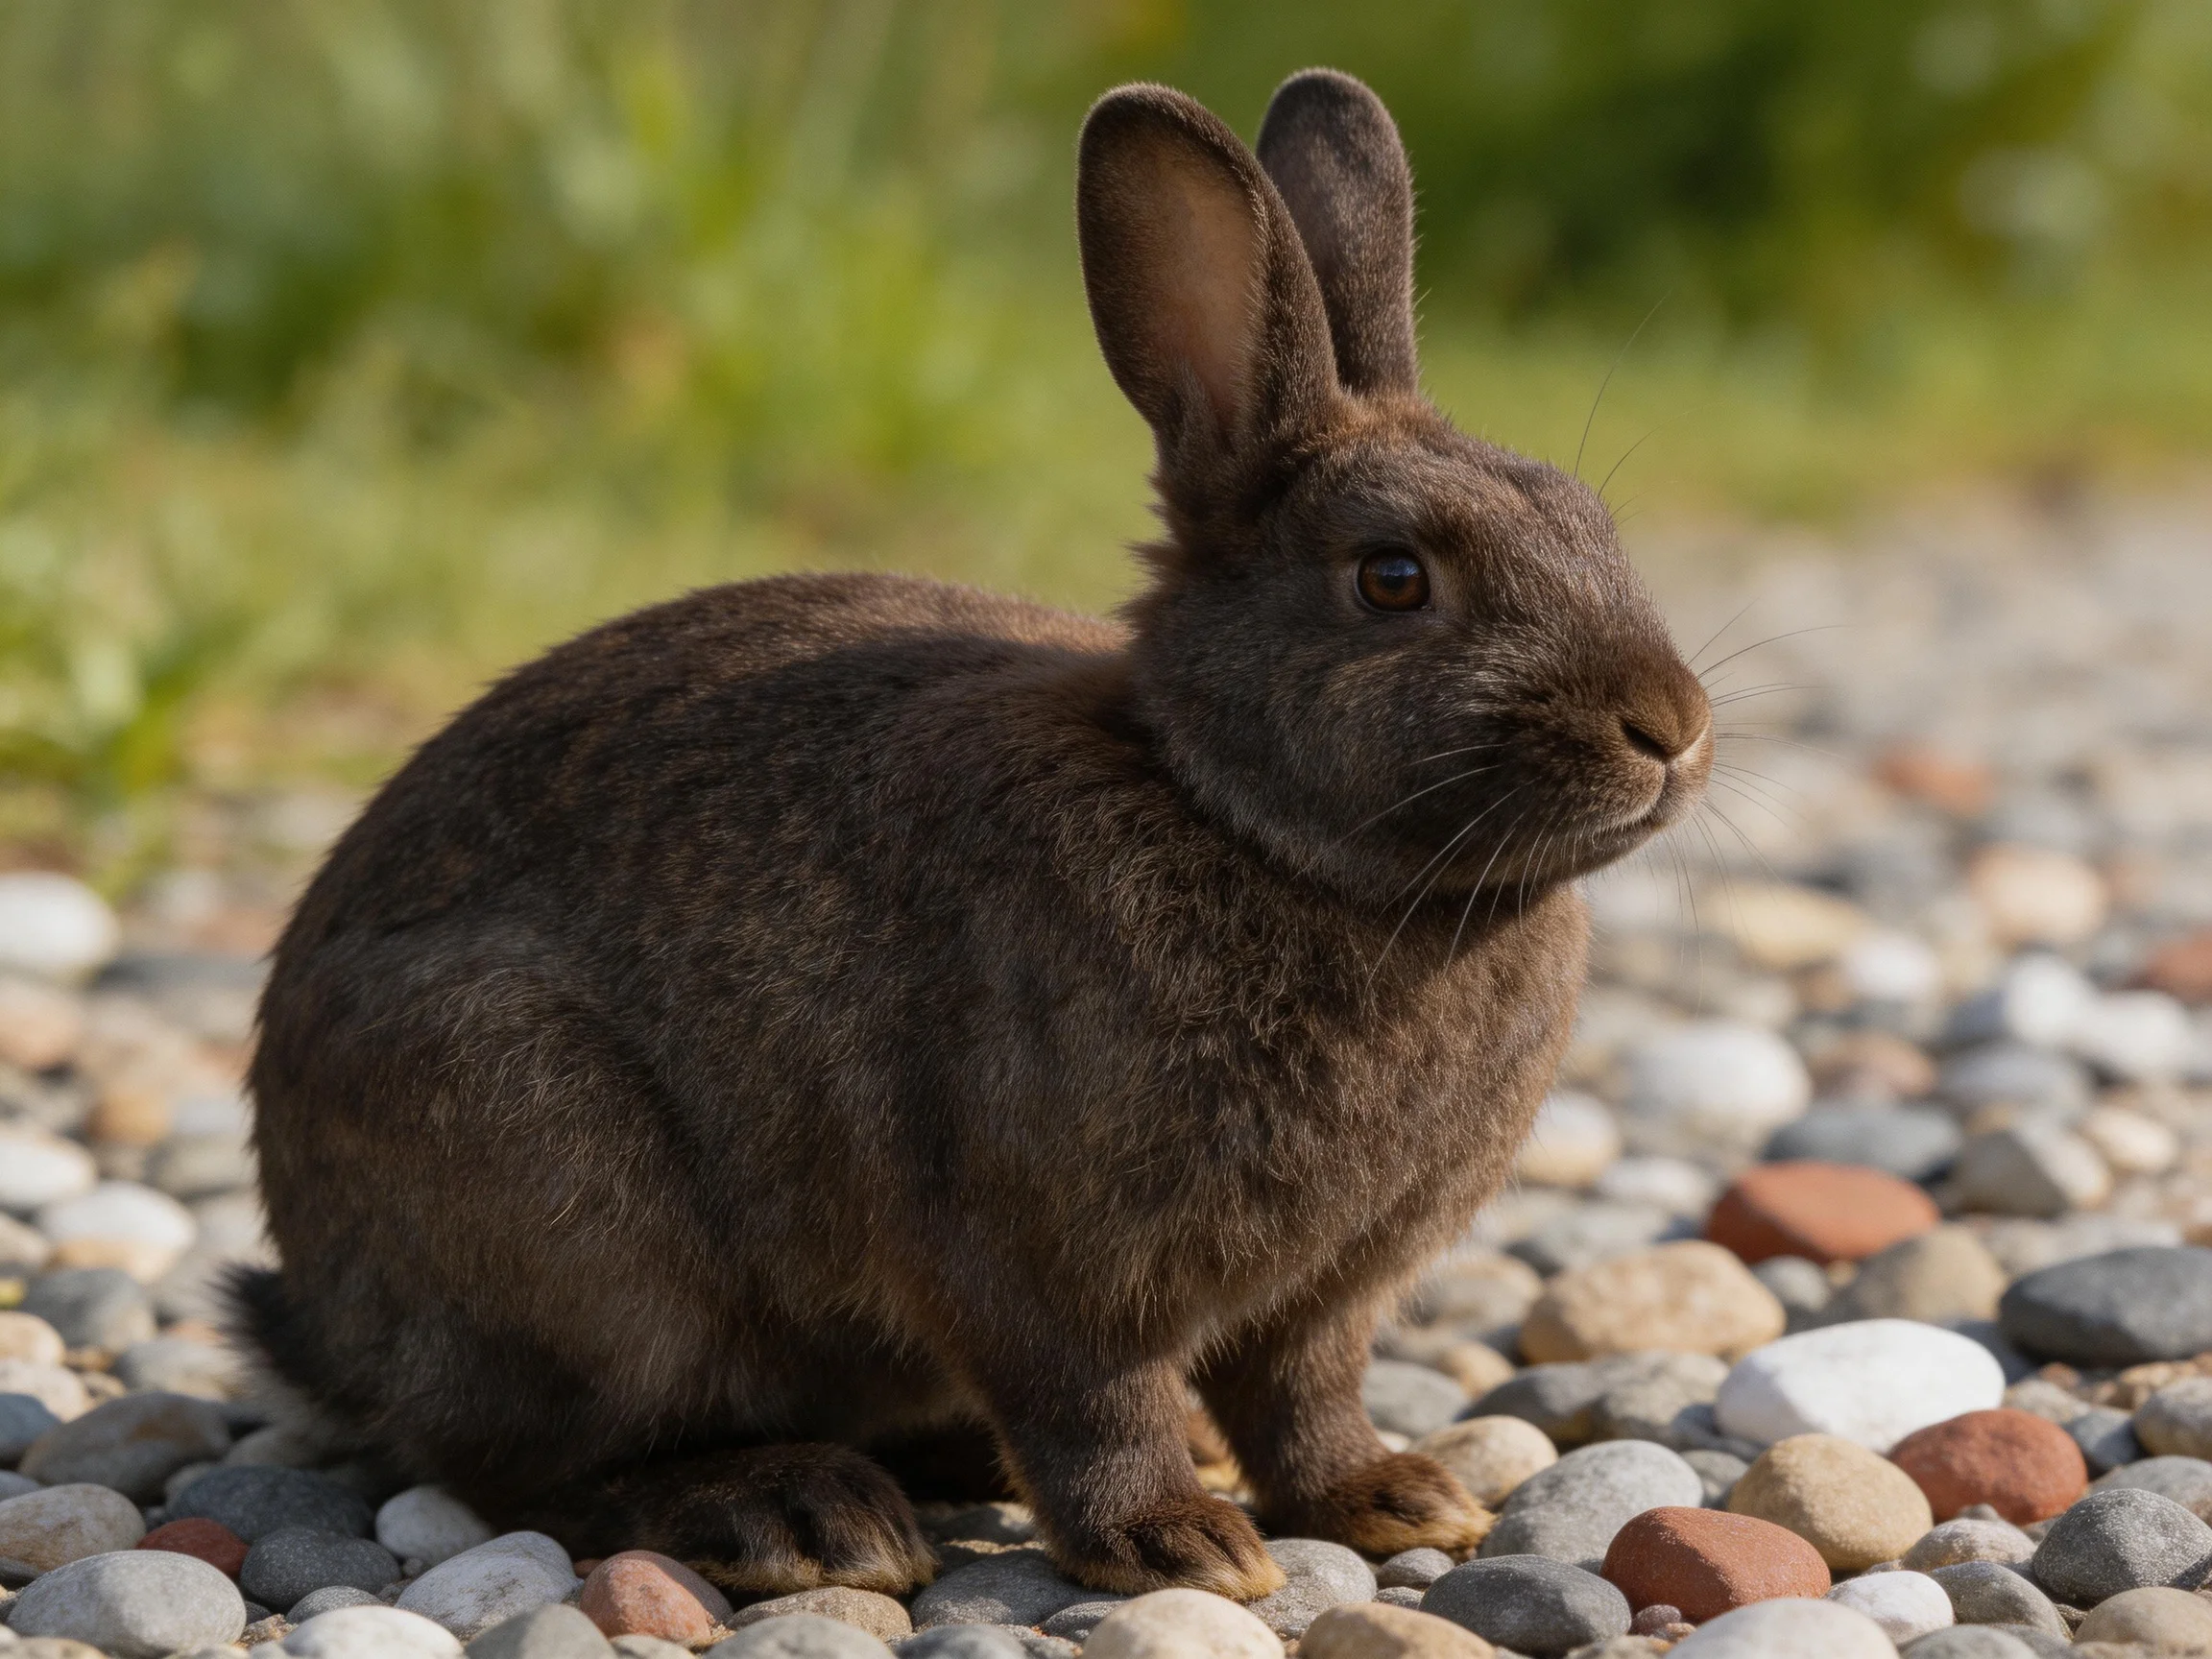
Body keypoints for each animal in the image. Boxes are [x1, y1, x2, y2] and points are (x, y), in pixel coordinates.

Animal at [236, 68, 1712, 1602]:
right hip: (558, 1188)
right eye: (1393, 578)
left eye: (1594, 524)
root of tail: (329, 1318)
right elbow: (1093, 1400)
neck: (1237, 819)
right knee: (532, 1464)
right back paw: (797, 1515)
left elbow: (1304, 1394)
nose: (1671, 726)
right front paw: (1176, 1544)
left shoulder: (1321, 1300)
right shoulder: (1035, 1256)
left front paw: (1390, 1502)